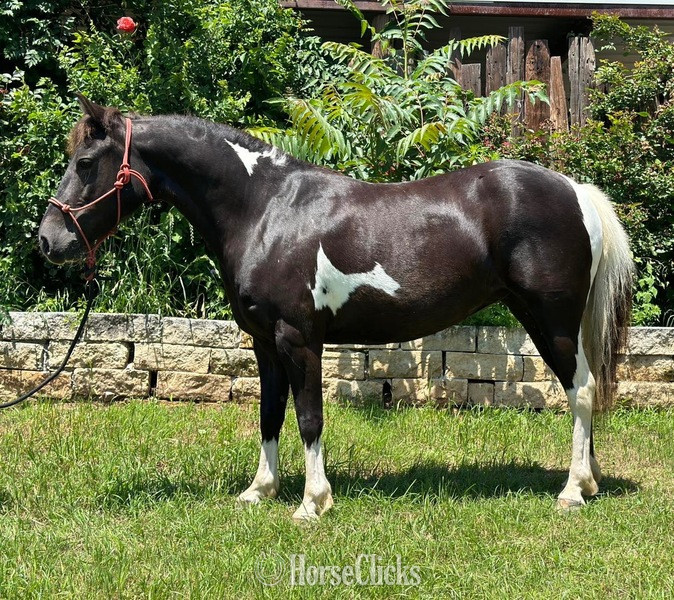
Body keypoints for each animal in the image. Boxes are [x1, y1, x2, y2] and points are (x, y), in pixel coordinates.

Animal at [38, 96, 633, 520]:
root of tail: (575, 189)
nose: (47, 240)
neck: (265, 208)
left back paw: (572, 492)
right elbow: (270, 413)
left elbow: (308, 417)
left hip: (551, 321)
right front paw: (259, 490)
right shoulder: (264, 342)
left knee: (580, 391)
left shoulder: (298, 337)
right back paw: (589, 479)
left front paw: (312, 502)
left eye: (85, 162)